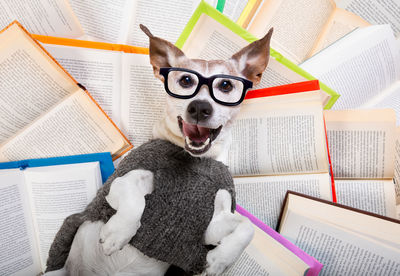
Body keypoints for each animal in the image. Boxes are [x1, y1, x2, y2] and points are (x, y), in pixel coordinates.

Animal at [45, 24, 274, 276]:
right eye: (186, 80)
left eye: (226, 85)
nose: (199, 107)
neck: (194, 158)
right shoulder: (118, 185)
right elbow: (135, 200)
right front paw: (118, 232)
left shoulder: (211, 227)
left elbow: (247, 226)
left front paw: (221, 259)